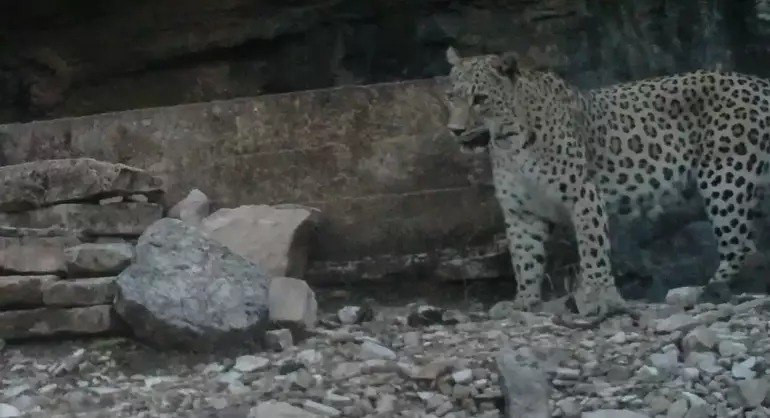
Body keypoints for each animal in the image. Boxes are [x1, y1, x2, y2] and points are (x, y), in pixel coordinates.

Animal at [440, 46, 768, 316]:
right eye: (451, 96)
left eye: (480, 99)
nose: (455, 130)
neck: (509, 146)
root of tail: (759, 83)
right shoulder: (522, 211)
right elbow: (525, 259)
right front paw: (524, 301)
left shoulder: (583, 195)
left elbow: (592, 248)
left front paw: (600, 299)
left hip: (724, 178)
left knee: (741, 245)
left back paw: (708, 290)